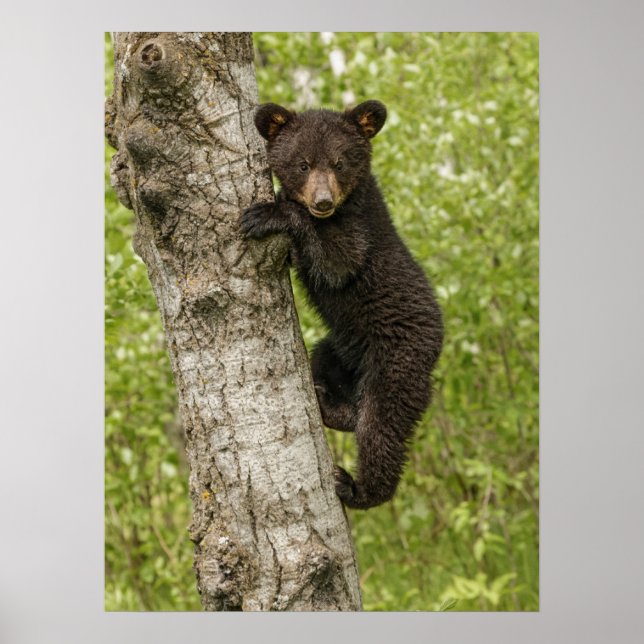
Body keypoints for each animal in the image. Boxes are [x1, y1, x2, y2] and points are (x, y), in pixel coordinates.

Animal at [240, 100, 443, 510]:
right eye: (303, 163)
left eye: (339, 162)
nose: (322, 201)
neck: (347, 204)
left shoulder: (360, 232)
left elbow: (337, 260)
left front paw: (268, 213)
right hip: (339, 349)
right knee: (329, 370)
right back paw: (329, 404)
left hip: (397, 362)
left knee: (382, 428)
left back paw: (357, 488)